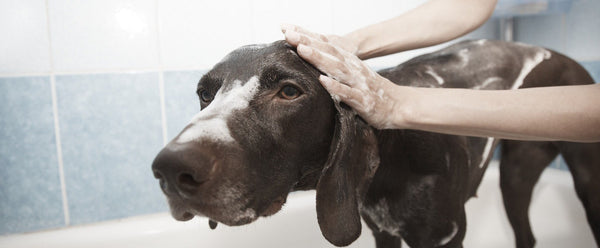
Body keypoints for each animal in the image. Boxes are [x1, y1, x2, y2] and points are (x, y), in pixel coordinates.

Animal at [151, 39, 600, 247]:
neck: (393, 163)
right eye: (205, 94)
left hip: (580, 183)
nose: (170, 169)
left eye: (289, 91)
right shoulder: (382, 232)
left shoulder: (444, 237)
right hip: (515, 179)